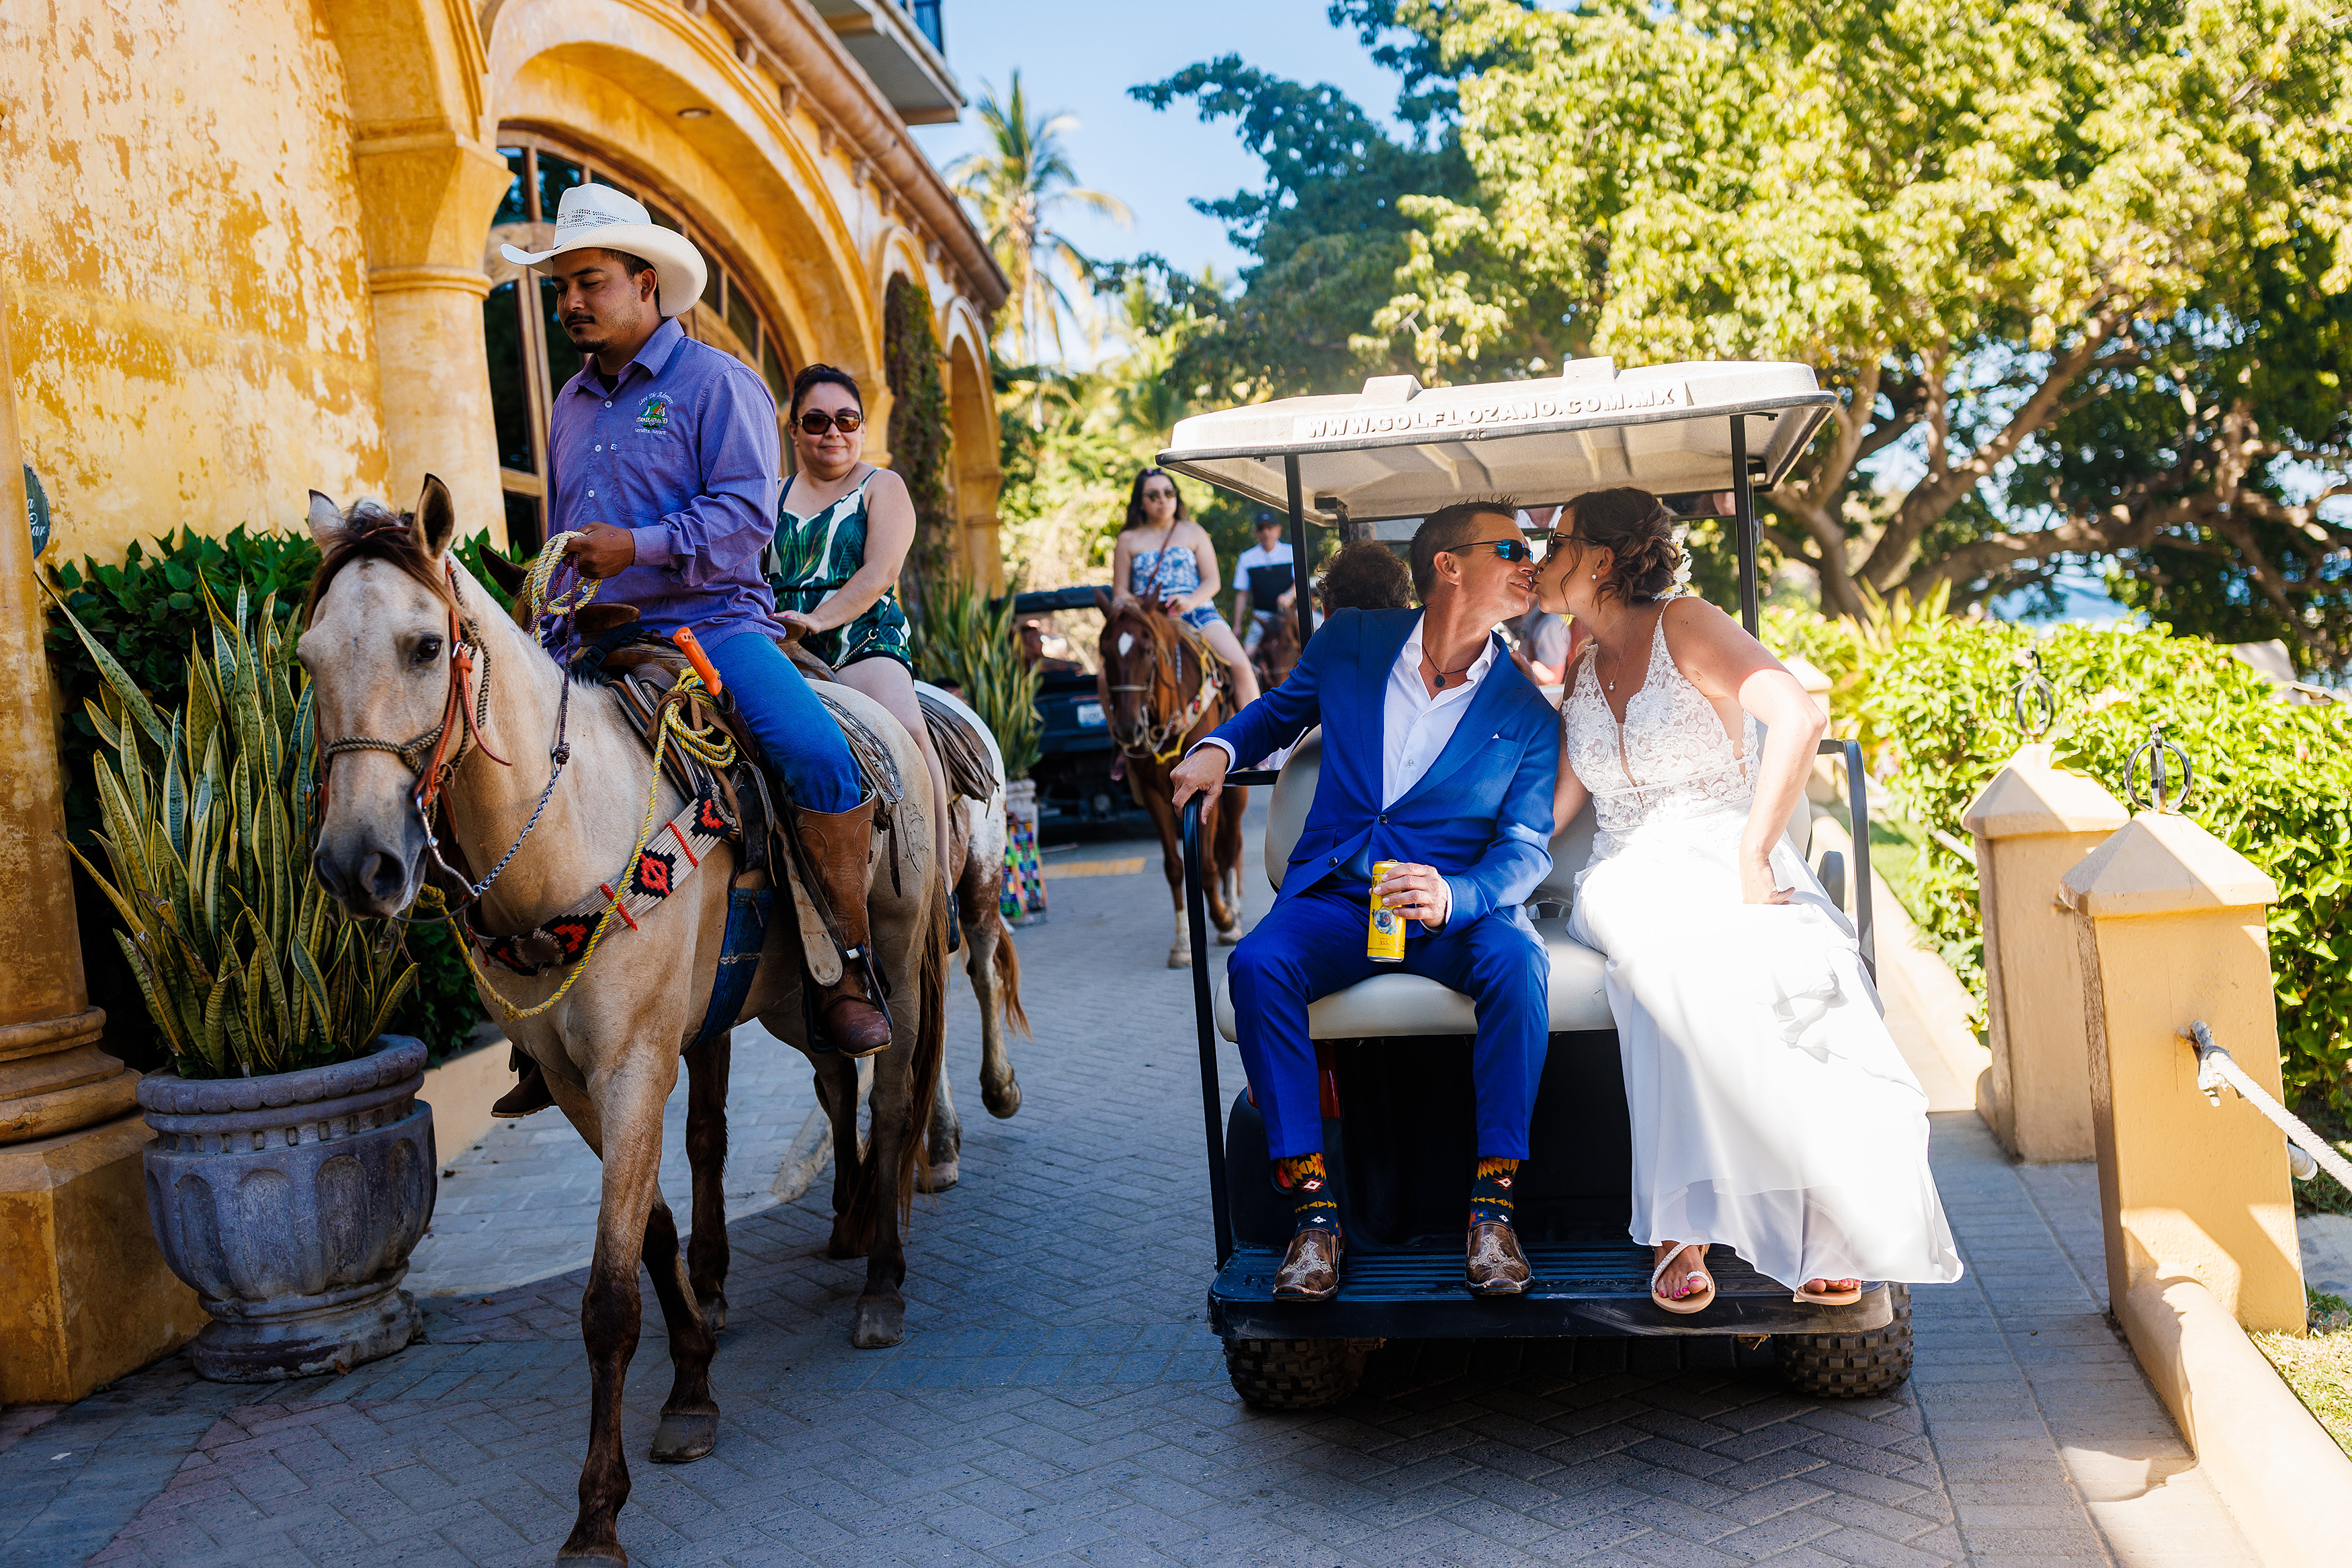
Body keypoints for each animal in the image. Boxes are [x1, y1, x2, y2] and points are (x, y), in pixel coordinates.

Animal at [303, 484, 946, 1561]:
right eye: (308, 658)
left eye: (426, 646)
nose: (361, 864)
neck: (560, 833)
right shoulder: (576, 1082)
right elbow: (651, 1235)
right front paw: (692, 1378)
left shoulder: (637, 1061)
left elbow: (607, 1295)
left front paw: (598, 1511)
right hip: (783, 999)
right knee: (828, 1077)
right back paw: (850, 1225)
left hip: (895, 957)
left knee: (893, 1099)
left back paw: (884, 1285)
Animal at [1096, 595, 1251, 968]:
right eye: (1104, 651)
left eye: (1148, 650)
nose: (1128, 729)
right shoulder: (1155, 795)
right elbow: (1174, 867)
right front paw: (1182, 942)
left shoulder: (1208, 790)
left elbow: (1207, 865)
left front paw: (1224, 919)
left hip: (1235, 798)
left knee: (1232, 845)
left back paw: (1233, 910)